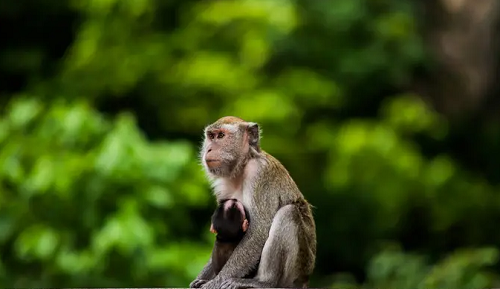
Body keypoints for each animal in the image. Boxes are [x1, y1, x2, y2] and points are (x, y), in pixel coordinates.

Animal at [189, 115, 314, 288]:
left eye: (221, 136)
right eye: (211, 136)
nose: (209, 149)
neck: (242, 166)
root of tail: (305, 279)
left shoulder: (259, 172)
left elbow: (259, 229)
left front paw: (215, 281)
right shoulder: (222, 186)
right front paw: (202, 279)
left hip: (297, 270)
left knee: (288, 213)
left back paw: (264, 282)